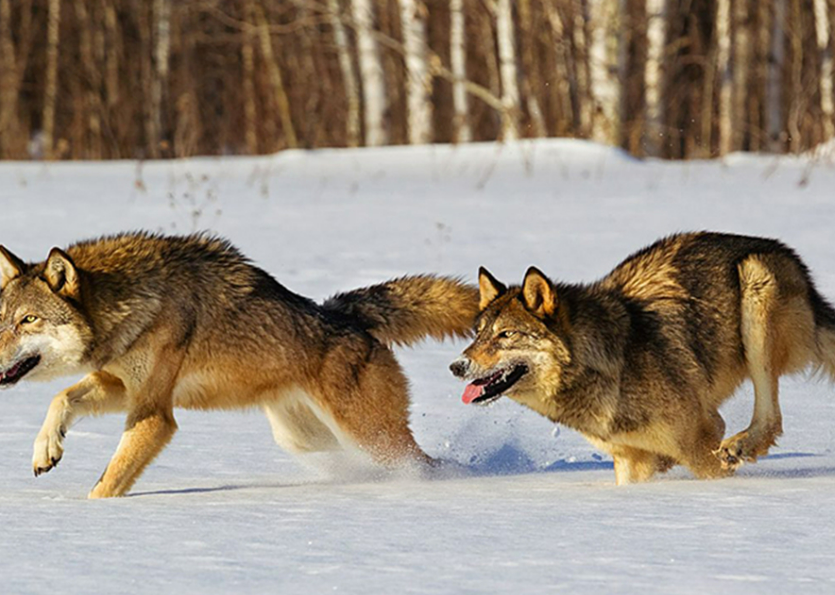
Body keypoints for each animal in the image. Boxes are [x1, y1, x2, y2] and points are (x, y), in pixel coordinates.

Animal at [0, 233, 480, 498]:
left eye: (28, 321)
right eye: (3, 318)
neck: (133, 302)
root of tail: (345, 314)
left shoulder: (155, 414)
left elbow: (106, 484)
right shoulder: (122, 387)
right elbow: (61, 398)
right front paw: (46, 450)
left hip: (367, 435)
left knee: (423, 462)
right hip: (305, 439)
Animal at [454, 232, 835, 484]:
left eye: (506, 335)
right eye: (478, 334)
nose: (456, 366)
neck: (605, 367)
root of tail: (789, 256)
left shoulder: (701, 437)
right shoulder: (629, 460)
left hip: (755, 286)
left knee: (771, 417)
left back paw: (740, 446)